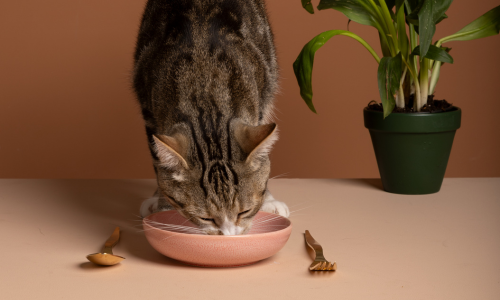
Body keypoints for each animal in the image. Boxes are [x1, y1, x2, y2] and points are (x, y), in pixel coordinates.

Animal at [133, 0, 290, 236]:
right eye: (205, 218)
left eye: (245, 211)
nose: (229, 236)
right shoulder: (149, 112)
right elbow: (159, 166)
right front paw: (164, 204)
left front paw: (267, 198)